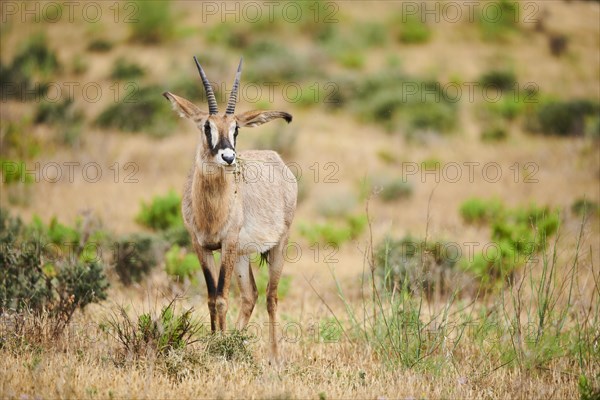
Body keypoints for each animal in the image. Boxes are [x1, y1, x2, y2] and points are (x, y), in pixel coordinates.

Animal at [162, 56, 298, 360]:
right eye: (206, 126)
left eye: (236, 128)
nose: (228, 157)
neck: (211, 209)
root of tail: (278, 161)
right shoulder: (201, 245)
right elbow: (212, 297)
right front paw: (215, 343)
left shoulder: (226, 243)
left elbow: (222, 298)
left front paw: (219, 349)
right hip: (243, 255)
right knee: (250, 296)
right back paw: (237, 340)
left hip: (276, 246)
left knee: (271, 296)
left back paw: (274, 357)